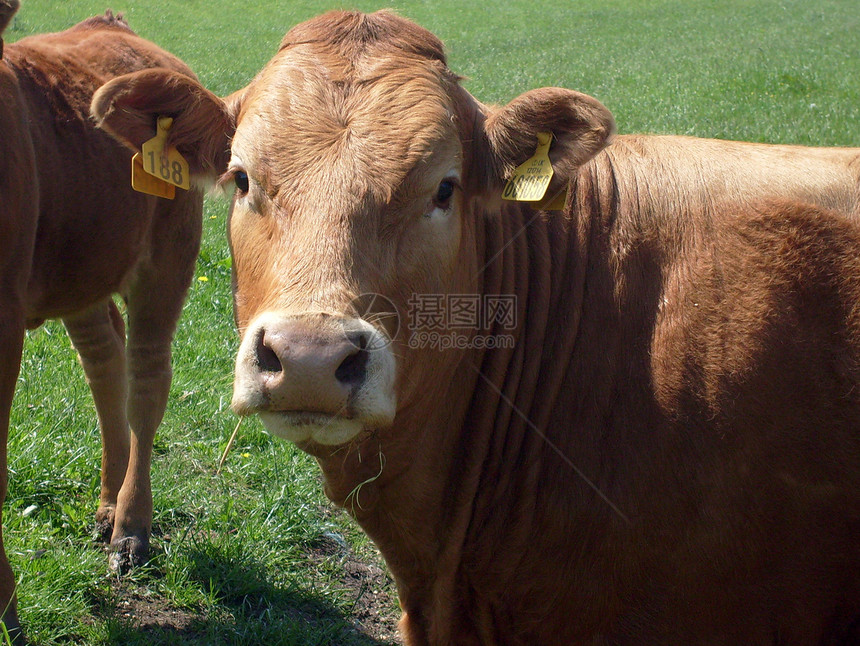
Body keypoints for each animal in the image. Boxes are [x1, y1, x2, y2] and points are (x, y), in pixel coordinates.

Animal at [0, 3, 202, 636]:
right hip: (83, 263)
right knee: (103, 358)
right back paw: (109, 503)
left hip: (168, 254)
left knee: (147, 377)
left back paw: (131, 527)